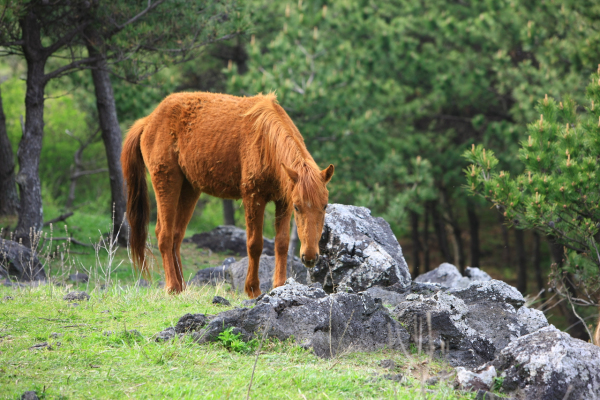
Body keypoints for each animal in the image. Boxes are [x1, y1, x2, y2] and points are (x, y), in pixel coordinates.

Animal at [119, 91, 336, 296]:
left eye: (325, 206)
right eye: (298, 207)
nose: (310, 257)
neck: (265, 141)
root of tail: (148, 120)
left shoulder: (283, 201)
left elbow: (281, 244)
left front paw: (280, 285)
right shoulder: (253, 198)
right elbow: (255, 244)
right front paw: (252, 289)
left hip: (189, 189)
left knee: (176, 236)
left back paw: (182, 287)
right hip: (166, 182)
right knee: (164, 234)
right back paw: (172, 287)